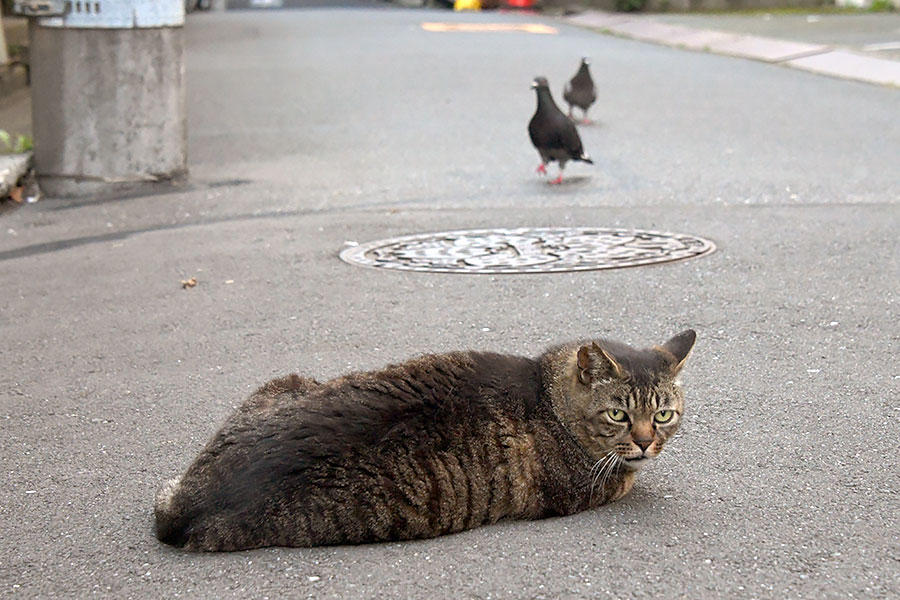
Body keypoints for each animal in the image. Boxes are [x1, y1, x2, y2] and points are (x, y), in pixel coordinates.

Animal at [153, 330, 696, 552]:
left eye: (663, 414)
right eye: (619, 415)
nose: (646, 443)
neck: (545, 391)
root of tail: (187, 506)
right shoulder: (593, 486)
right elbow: (625, 479)